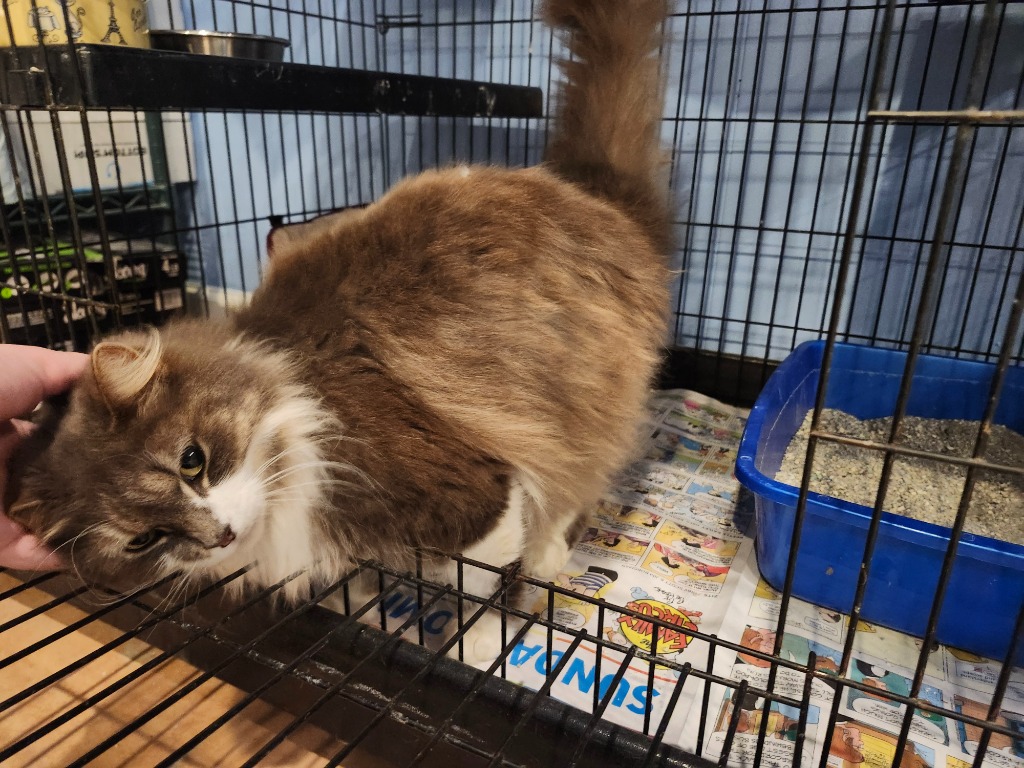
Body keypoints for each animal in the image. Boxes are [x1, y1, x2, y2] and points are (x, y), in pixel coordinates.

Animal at [5, 0, 672, 660]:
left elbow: (482, 574)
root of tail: (594, 199)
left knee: (566, 500)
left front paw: (478, 633)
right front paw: (363, 602)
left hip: (580, 404)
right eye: (144, 540)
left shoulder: (470, 483)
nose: (219, 535)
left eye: (192, 460)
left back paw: (534, 573)